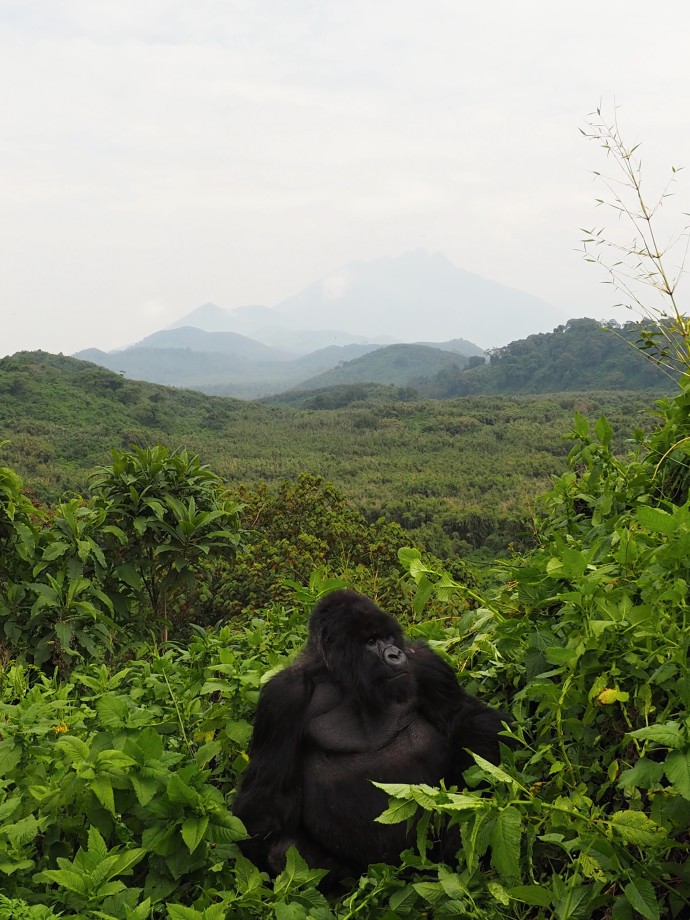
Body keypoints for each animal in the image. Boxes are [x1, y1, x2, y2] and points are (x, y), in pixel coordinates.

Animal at [231, 588, 506, 884]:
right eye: (371, 642)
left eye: (387, 638)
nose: (396, 655)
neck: (343, 679)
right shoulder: (282, 698)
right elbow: (266, 797)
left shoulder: (423, 661)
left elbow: (463, 716)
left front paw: (482, 781)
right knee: (283, 851)